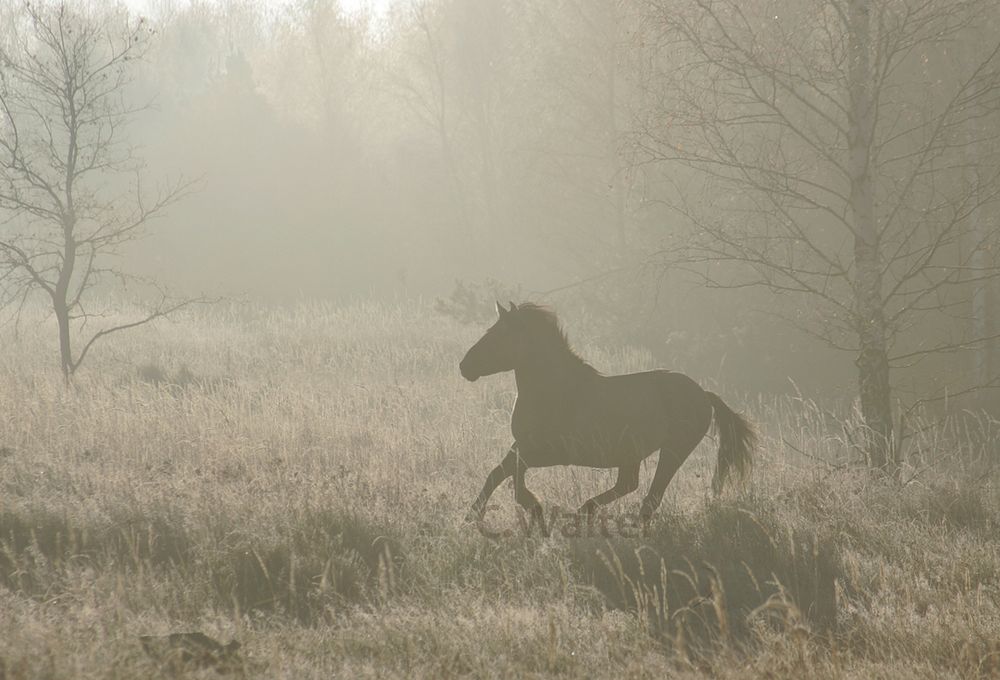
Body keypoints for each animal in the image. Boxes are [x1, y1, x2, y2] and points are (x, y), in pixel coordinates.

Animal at [462, 302, 756, 520]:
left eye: (500, 335)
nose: (464, 366)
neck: (555, 389)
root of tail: (703, 394)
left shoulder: (549, 452)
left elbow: (510, 472)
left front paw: (522, 507)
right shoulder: (523, 445)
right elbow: (503, 471)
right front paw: (507, 509)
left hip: (674, 451)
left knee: (650, 497)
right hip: (633, 454)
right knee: (629, 485)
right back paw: (584, 511)